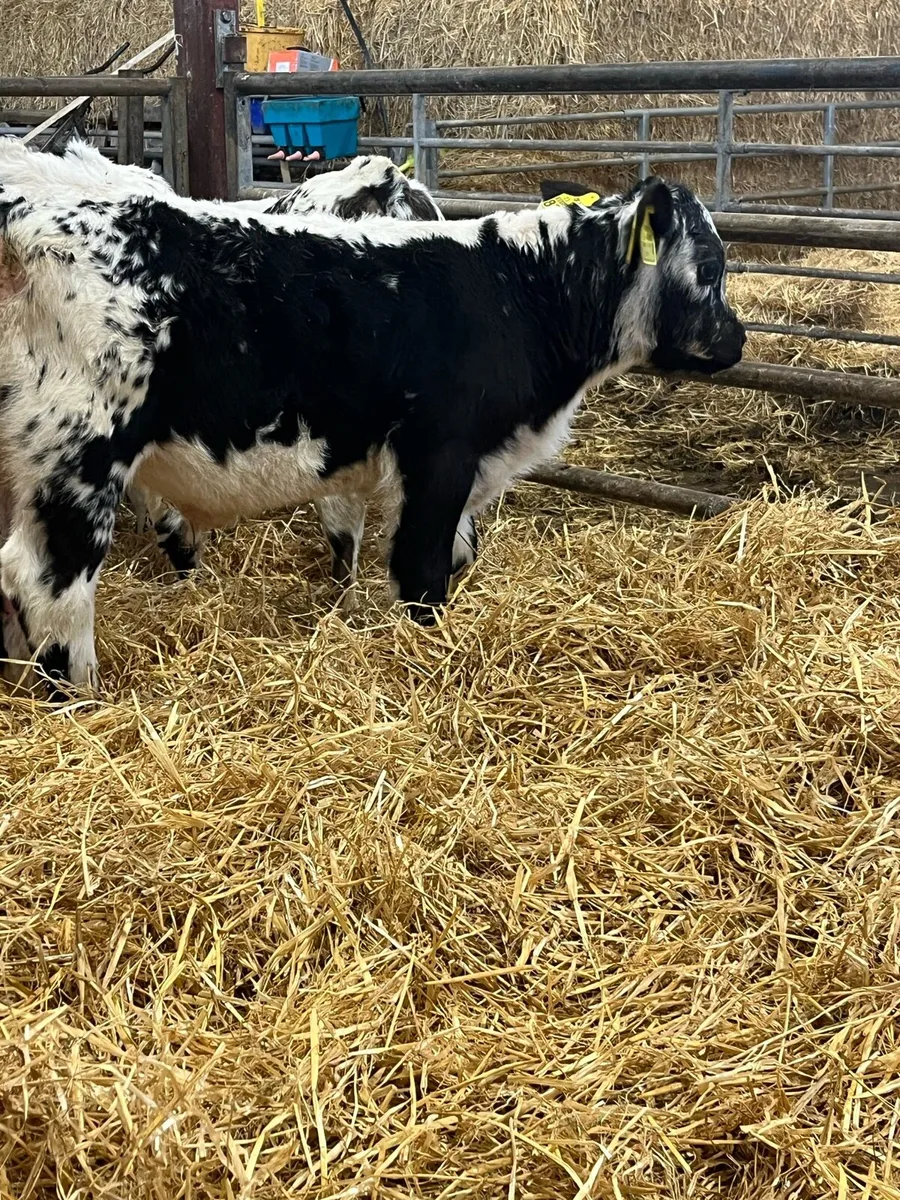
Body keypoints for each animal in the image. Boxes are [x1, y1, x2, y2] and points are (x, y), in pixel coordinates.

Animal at [0, 174, 744, 698]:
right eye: (710, 266)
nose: (737, 339)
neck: (520, 292)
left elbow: (450, 554)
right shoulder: (439, 455)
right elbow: (422, 571)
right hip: (78, 459)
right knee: (46, 582)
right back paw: (81, 700)